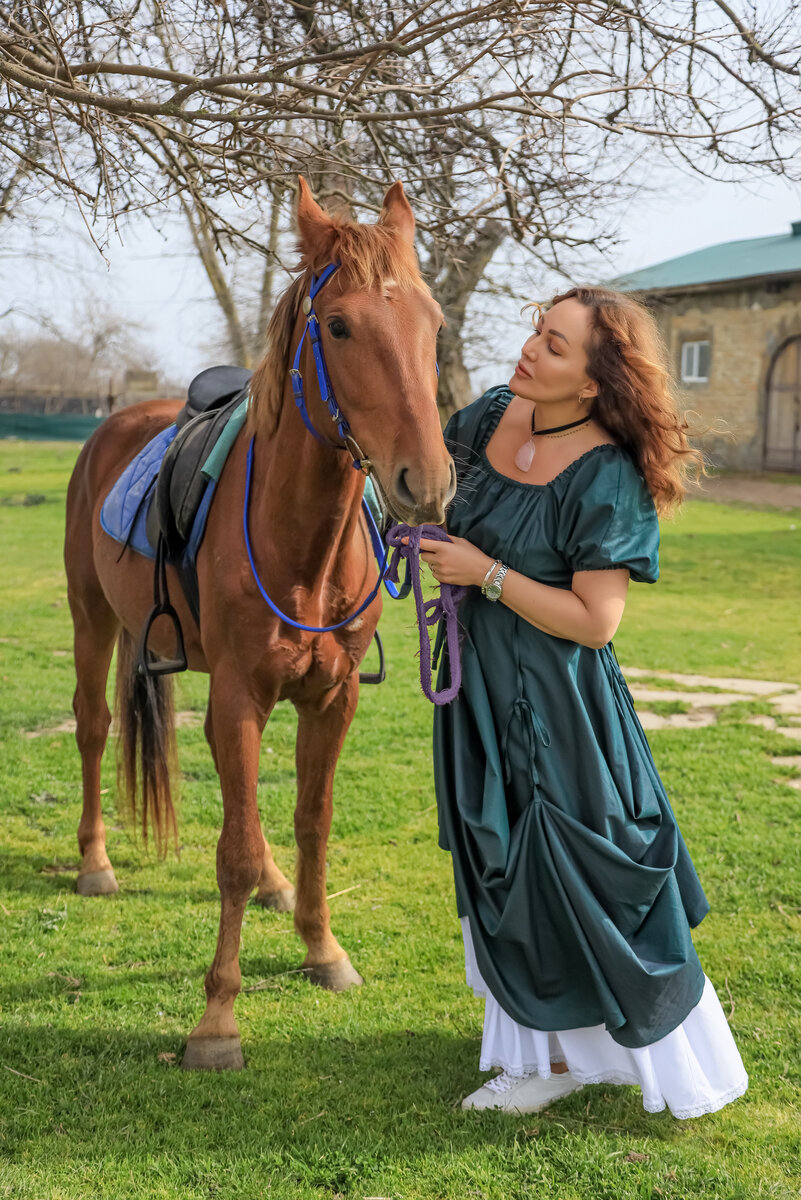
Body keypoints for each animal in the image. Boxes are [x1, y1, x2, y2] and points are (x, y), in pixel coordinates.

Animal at [65, 180, 453, 1070]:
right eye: (338, 326)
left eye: (433, 320)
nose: (425, 481)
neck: (301, 543)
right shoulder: (240, 694)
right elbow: (232, 854)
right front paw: (216, 1022)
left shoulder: (330, 698)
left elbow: (312, 822)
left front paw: (322, 948)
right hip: (92, 619)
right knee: (95, 727)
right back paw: (96, 863)